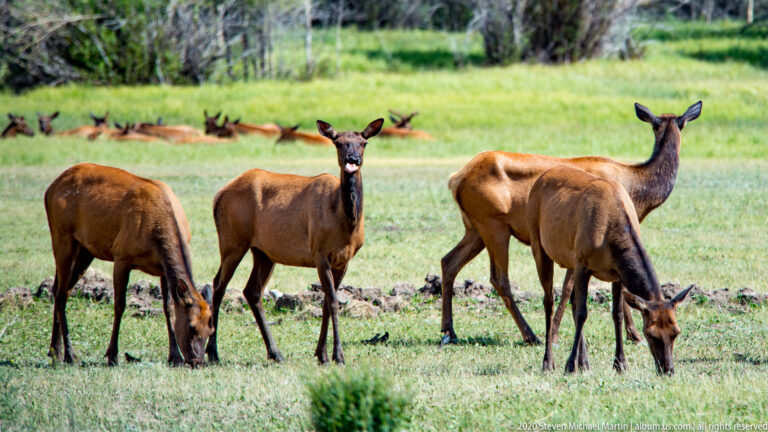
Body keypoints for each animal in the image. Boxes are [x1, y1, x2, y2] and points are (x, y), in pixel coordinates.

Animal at [45, 163, 214, 367]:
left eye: (211, 329)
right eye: (192, 326)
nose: (198, 361)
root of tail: (50, 189)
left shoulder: (162, 269)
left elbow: (168, 307)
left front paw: (175, 356)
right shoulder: (121, 255)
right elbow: (119, 305)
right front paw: (112, 355)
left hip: (85, 249)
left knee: (60, 288)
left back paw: (55, 351)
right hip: (61, 235)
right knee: (61, 293)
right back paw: (69, 355)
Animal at [205, 118, 384, 365]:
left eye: (363, 143)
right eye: (339, 143)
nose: (353, 159)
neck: (346, 223)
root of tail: (217, 196)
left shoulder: (344, 259)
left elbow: (327, 302)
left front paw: (321, 354)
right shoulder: (319, 252)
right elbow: (333, 302)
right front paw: (338, 356)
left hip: (263, 252)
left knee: (252, 291)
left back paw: (275, 352)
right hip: (232, 241)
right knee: (218, 285)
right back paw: (213, 352)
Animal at [440, 101, 702, 347]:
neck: (638, 192)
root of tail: (455, 179)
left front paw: (631, 334)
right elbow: (569, 290)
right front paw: (556, 334)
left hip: (474, 227)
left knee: (449, 261)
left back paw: (448, 332)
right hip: (493, 224)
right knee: (499, 278)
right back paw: (530, 335)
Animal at [527, 165, 693, 375]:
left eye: (676, 332)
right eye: (650, 333)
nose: (668, 369)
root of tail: (540, 179)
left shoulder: (617, 273)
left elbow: (617, 314)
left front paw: (620, 363)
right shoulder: (582, 263)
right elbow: (582, 313)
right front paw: (569, 365)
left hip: (570, 260)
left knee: (571, 300)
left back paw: (584, 362)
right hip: (538, 243)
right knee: (549, 302)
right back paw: (549, 362)